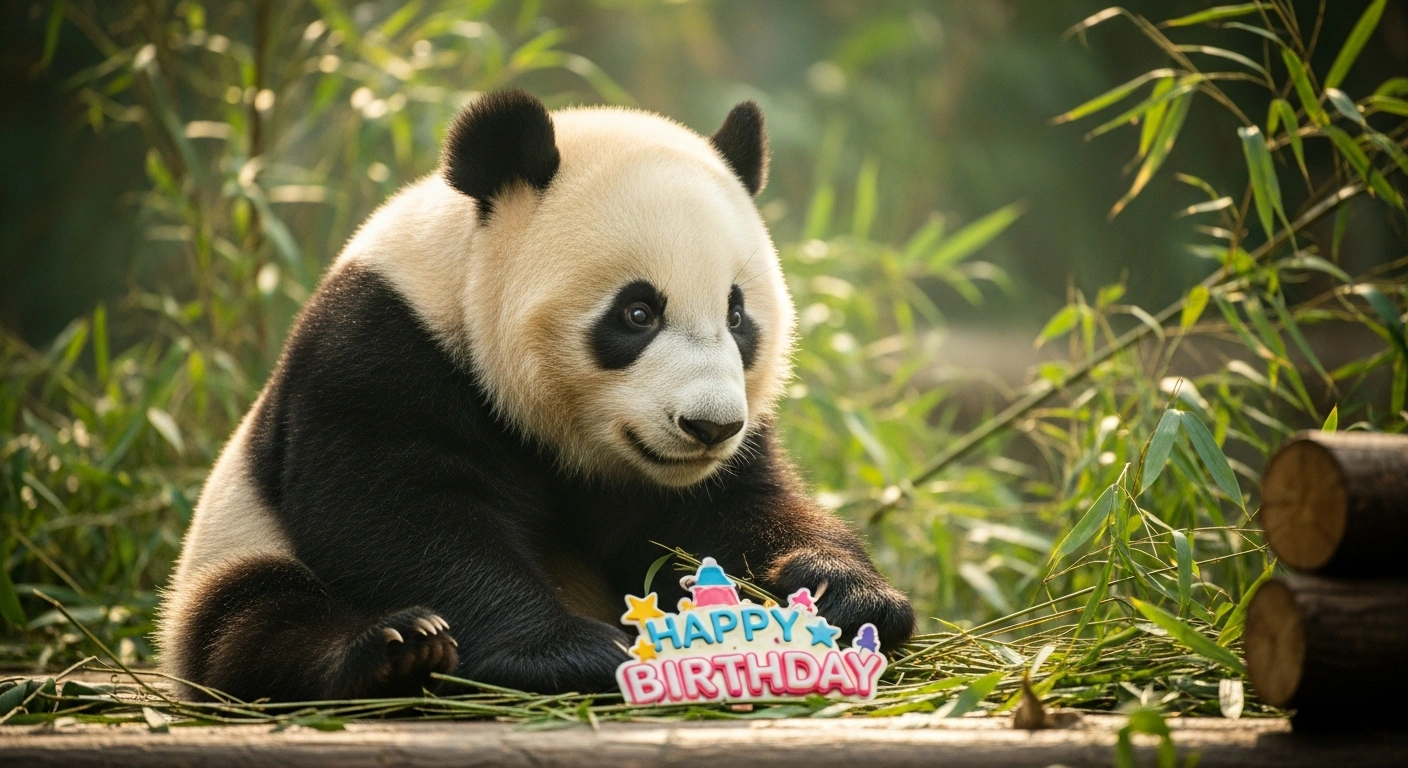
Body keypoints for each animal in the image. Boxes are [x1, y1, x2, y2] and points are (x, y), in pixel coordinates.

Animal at [157, 89, 915, 702]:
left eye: (737, 315)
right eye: (637, 313)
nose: (708, 426)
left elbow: (731, 514)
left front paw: (843, 593)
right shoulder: (384, 345)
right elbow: (398, 510)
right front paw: (572, 652)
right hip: (230, 545)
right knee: (252, 623)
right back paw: (393, 653)